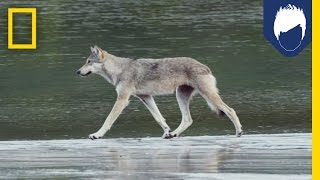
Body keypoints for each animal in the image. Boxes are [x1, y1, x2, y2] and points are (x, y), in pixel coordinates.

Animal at [77, 45, 242, 140]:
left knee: (230, 110)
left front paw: (97, 134)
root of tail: (205, 67)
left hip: (206, 95)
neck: (119, 69)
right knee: (188, 119)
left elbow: (108, 119)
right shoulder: (146, 97)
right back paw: (173, 134)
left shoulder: (123, 99)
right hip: (180, 96)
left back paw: (238, 132)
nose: (77, 72)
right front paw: (167, 132)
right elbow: (159, 118)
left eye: (88, 62)